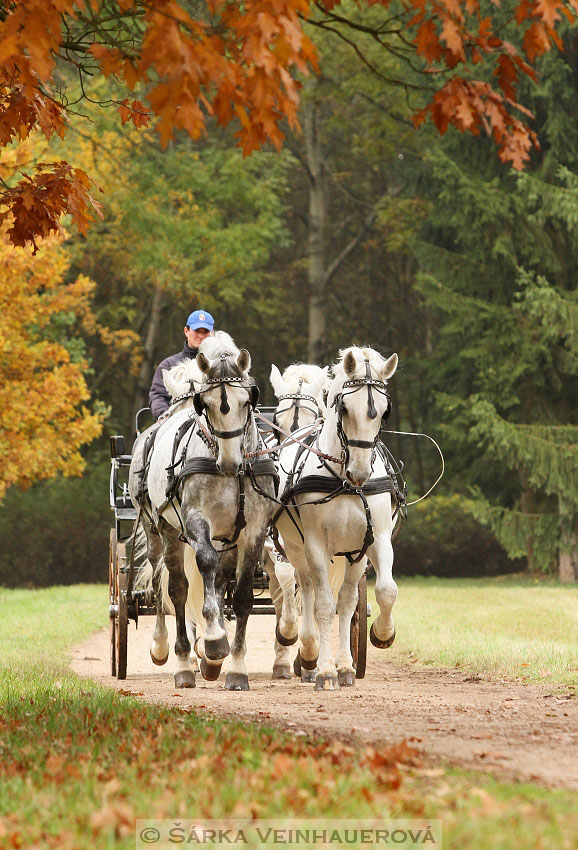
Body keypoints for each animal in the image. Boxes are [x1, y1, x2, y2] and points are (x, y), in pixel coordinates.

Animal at [129, 332, 276, 688]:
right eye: (203, 404)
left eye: (248, 400)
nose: (230, 463)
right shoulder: (196, 522)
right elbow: (202, 568)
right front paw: (213, 640)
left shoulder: (253, 530)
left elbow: (241, 596)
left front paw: (235, 668)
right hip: (162, 530)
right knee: (174, 587)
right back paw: (179, 659)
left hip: (227, 538)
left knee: (218, 583)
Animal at [272, 344, 398, 688]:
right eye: (344, 408)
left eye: (384, 411)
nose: (360, 473)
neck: (344, 483)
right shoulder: (315, 543)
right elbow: (324, 606)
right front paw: (326, 671)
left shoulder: (372, 542)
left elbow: (378, 593)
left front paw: (378, 637)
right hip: (296, 546)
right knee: (304, 589)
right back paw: (307, 651)